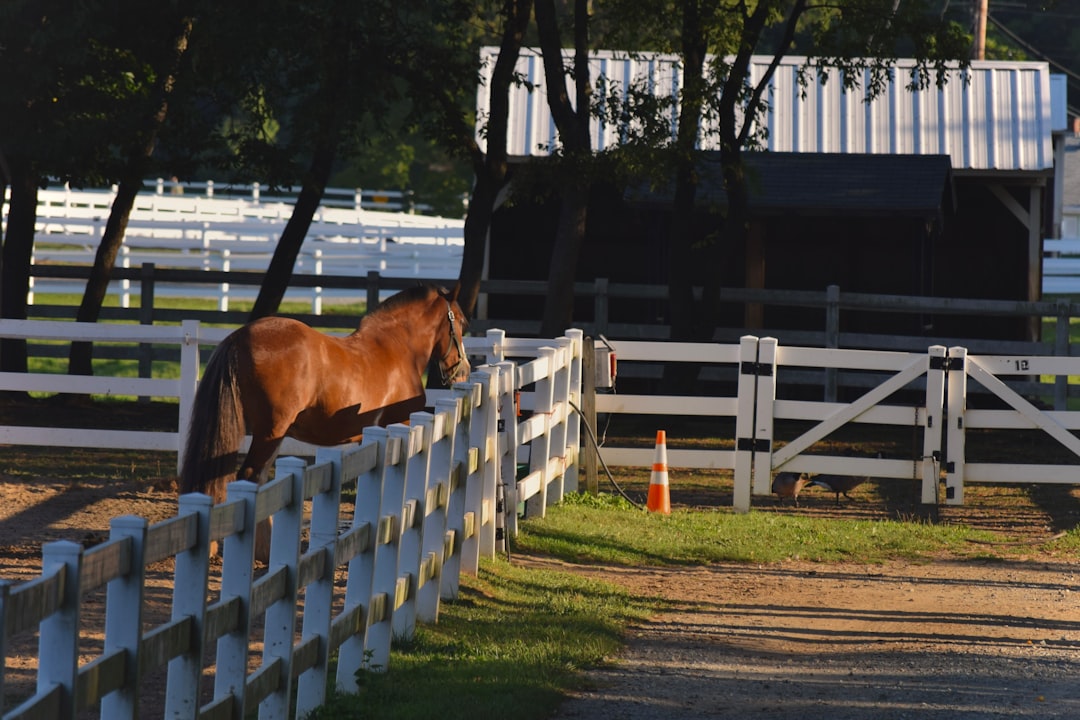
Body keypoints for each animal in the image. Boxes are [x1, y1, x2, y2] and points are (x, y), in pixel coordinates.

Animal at [179, 280, 470, 507]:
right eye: (461, 323)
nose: (463, 370)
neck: (398, 348)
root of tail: (238, 337)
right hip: (270, 432)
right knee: (249, 477)